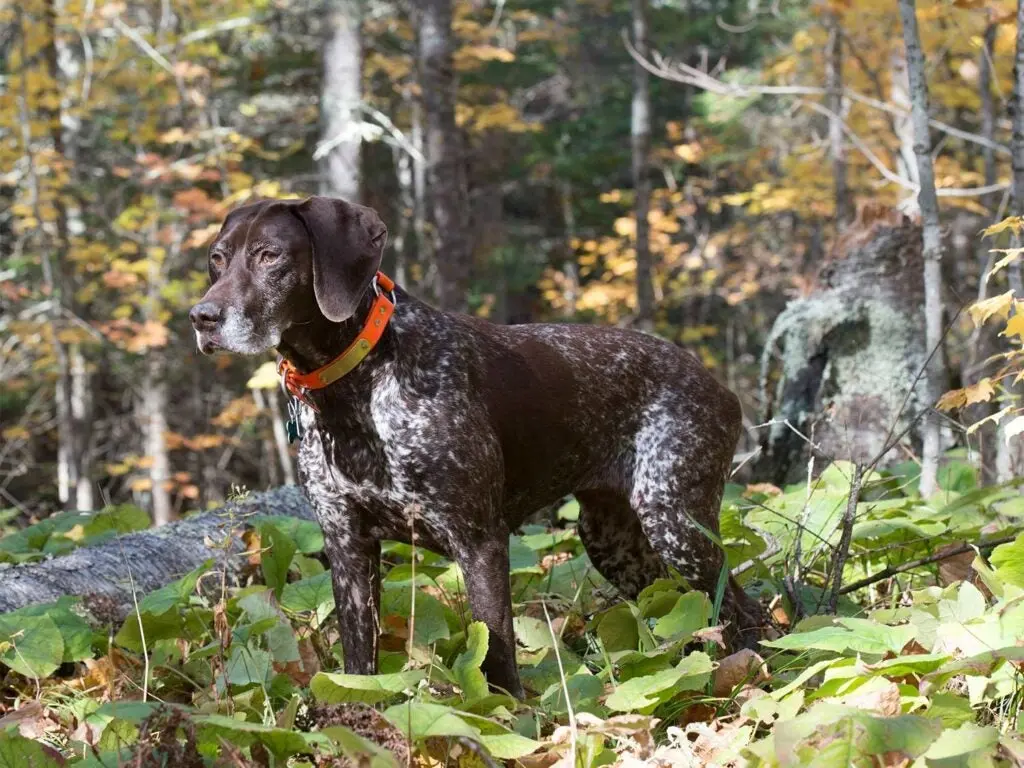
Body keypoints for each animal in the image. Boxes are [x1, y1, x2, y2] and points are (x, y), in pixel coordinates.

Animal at [192, 196, 770, 696]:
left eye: (269, 255)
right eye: (217, 260)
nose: (202, 317)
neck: (355, 386)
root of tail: (720, 387)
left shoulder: (479, 541)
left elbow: (495, 655)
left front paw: (511, 720)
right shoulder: (347, 546)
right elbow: (359, 665)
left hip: (675, 521)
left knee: (748, 612)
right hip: (615, 542)